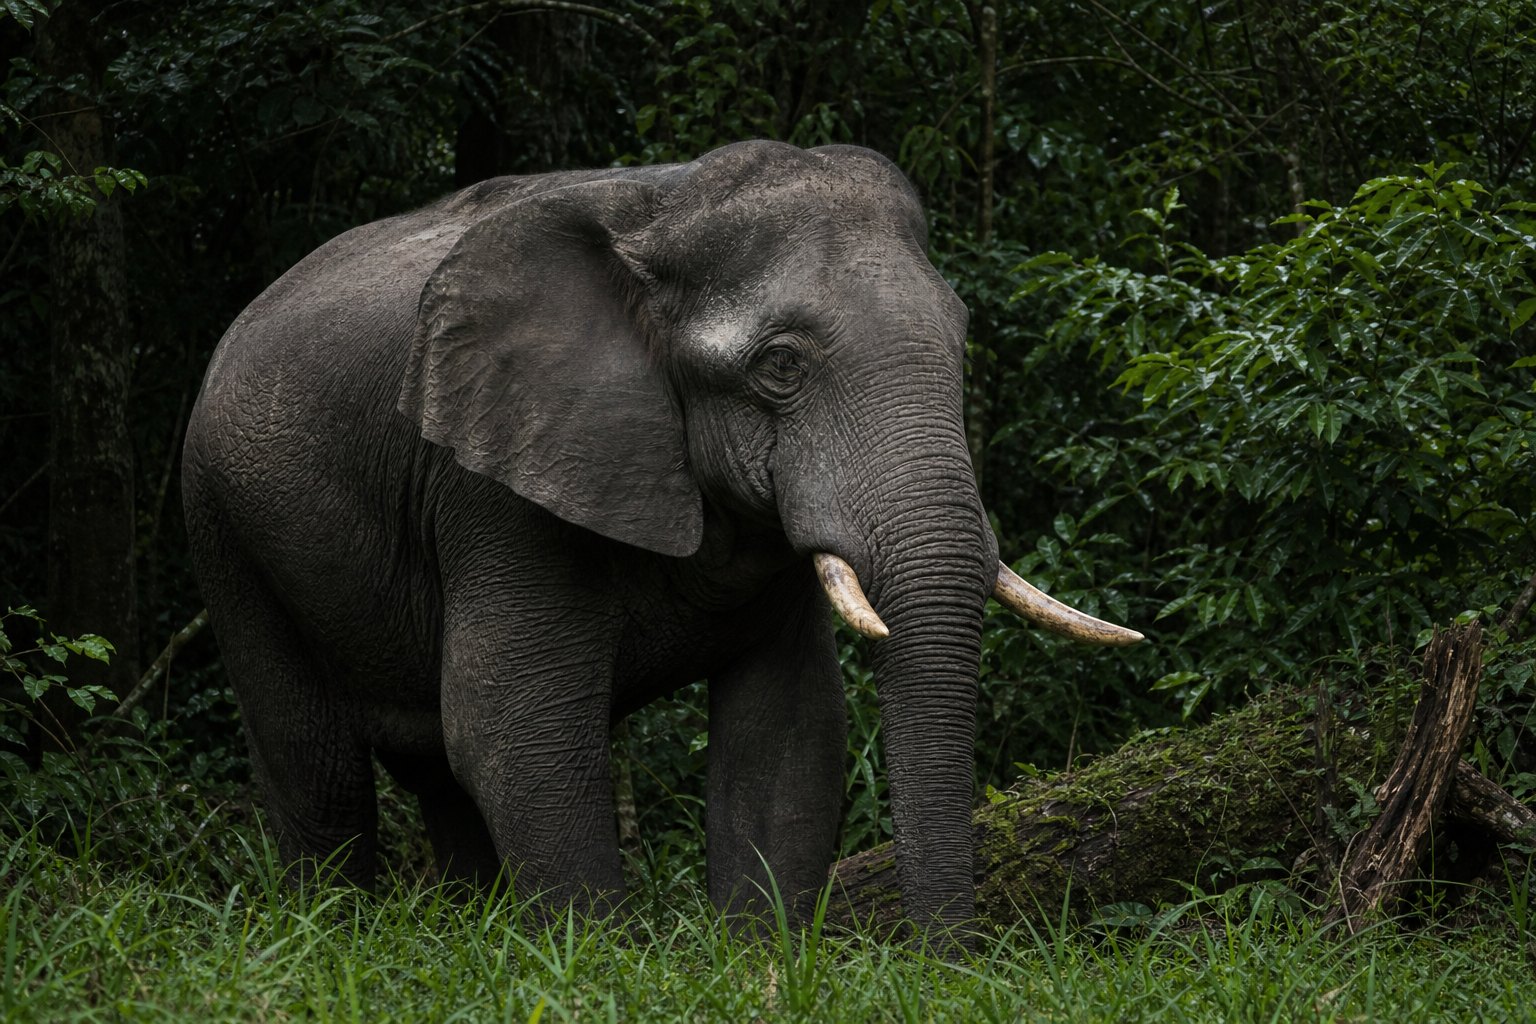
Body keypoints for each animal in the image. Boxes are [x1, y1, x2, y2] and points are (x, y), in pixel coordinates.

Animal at [182, 139, 1140, 940]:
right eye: (779, 367)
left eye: (961, 341)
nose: (952, 966)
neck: (665, 210)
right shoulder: (495, 487)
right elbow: (512, 725)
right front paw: (592, 964)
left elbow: (789, 730)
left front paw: (759, 963)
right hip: (225, 526)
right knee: (316, 767)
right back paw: (331, 936)